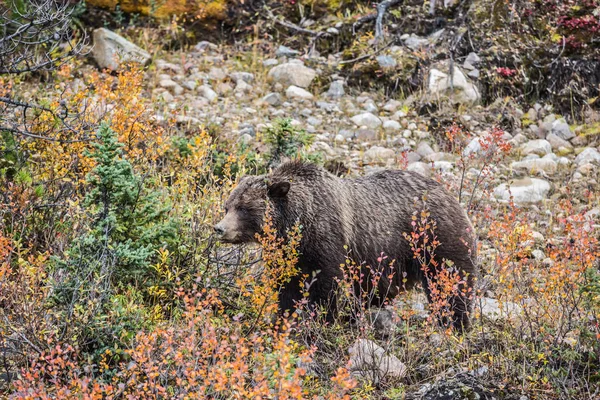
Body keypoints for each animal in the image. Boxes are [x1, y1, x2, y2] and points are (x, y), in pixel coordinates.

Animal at [216, 160, 478, 332]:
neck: (298, 226)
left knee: (451, 282)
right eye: (227, 205)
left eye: (244, 208)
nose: (219, 228)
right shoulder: (287, 255)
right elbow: (286, 288)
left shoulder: (328, 242)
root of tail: (450, 195)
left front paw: (321, 322)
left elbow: (325, 288)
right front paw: (282, 320)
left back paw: (456, 324)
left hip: (436, 241)